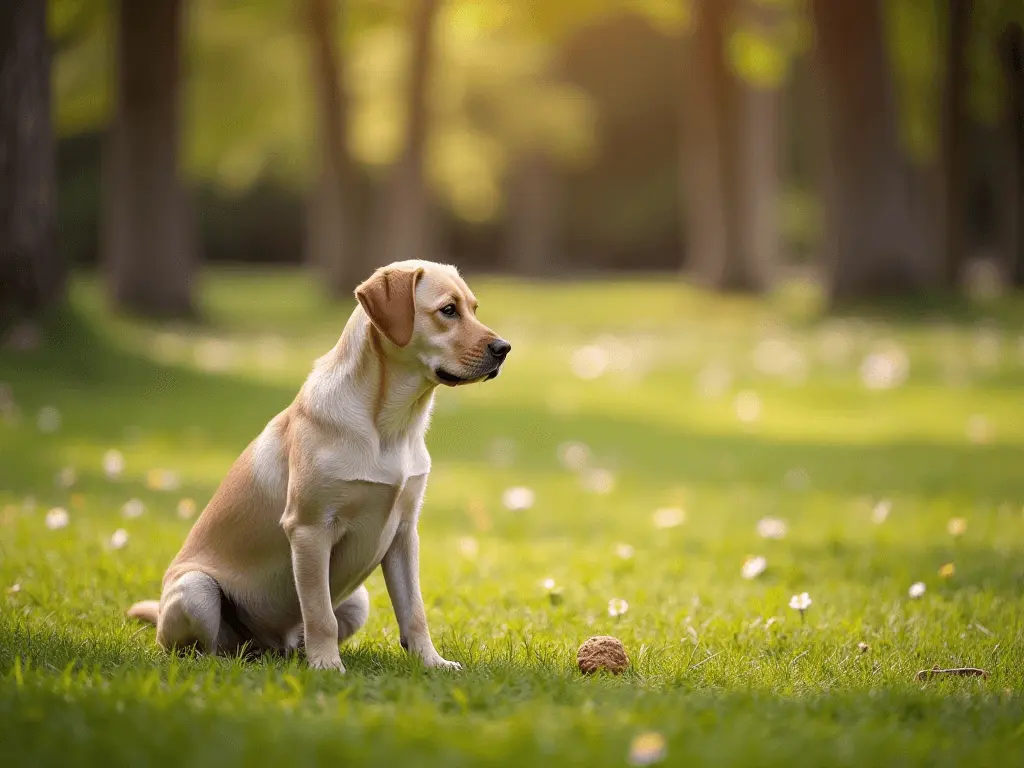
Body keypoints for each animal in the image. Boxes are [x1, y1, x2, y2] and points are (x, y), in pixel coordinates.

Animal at [128, 262, 512, 671]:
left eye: (474, 308)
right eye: (448, 310)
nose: (504, 349)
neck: (391, 427)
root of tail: (267, 645)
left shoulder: (404, 534)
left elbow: (414, 611)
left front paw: (432, 662)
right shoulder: (310, 529)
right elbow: (318, 613)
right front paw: (327, 667)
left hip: (357, 601)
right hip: (197, 590)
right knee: (205, 648)